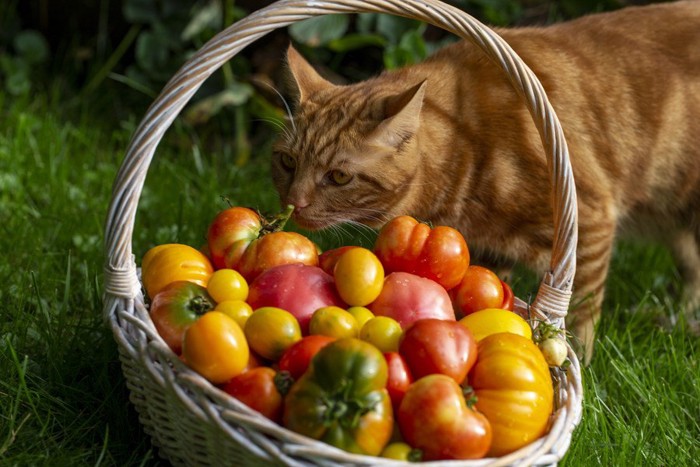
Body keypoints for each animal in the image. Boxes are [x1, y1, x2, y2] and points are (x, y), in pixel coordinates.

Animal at [270, 0, 700, 362]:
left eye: (339, 176)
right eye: (288, 161)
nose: (294, 202)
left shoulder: (590, 223)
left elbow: (580, 316)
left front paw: (585, 372)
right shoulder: (494, 252)